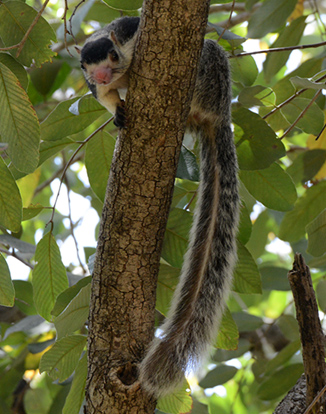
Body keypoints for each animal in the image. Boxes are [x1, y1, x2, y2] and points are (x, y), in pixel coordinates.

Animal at [79, 15, 239, 398]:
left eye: (112, 54)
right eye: (86, 66)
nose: (103, 75)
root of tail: (219, 113)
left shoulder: (130, 33)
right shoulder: (96, 88)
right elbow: (107, 99)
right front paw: (118, 112)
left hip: (209, 72)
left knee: (206, 56)